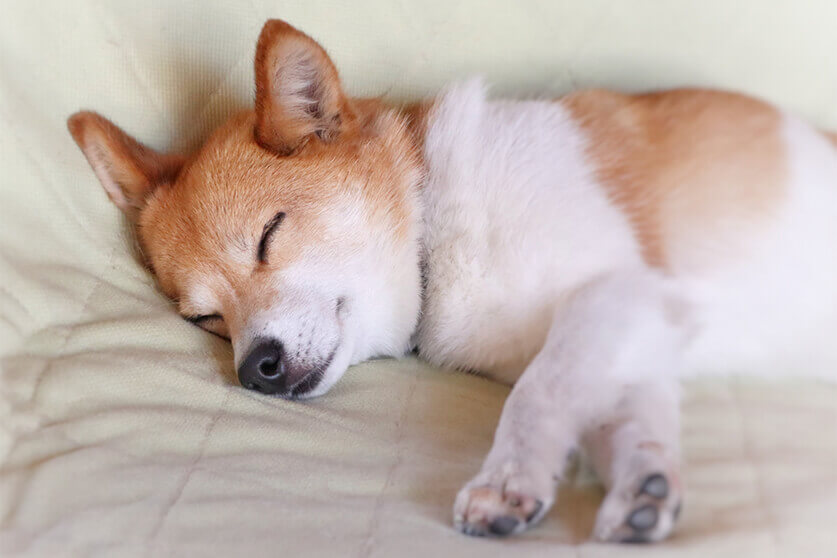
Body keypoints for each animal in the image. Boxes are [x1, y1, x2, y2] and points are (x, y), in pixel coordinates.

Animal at [68, 19, 836, 544]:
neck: (437, 231)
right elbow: (623, 421)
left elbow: (537, 394)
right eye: (205, 320)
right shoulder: (633, 342)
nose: (256, 368)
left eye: (269, 236)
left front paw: (507, 480)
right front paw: (643, 490)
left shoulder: (615, 294)